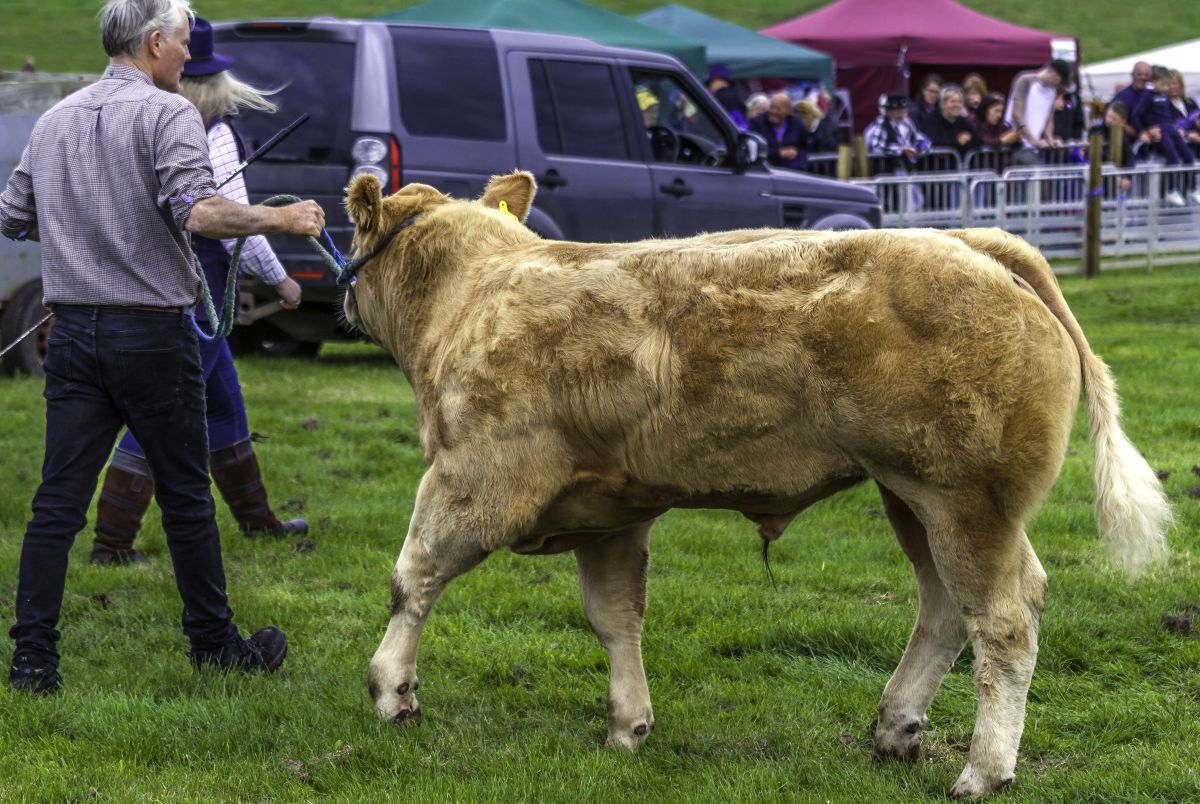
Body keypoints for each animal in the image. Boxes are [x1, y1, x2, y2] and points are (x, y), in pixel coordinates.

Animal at [341, 171, 1171, 799]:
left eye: (354, 236)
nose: (341, 297)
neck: (473, 293)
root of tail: (974, 243)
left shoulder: (475, 479)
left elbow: (412, 578)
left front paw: (390, 690)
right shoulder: (613, 513)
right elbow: (615, 617)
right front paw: (627, 725)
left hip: (966, 499)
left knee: (1003, 619)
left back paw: (984, 770)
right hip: (912, 496)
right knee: (943, 607)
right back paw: (896, 726)